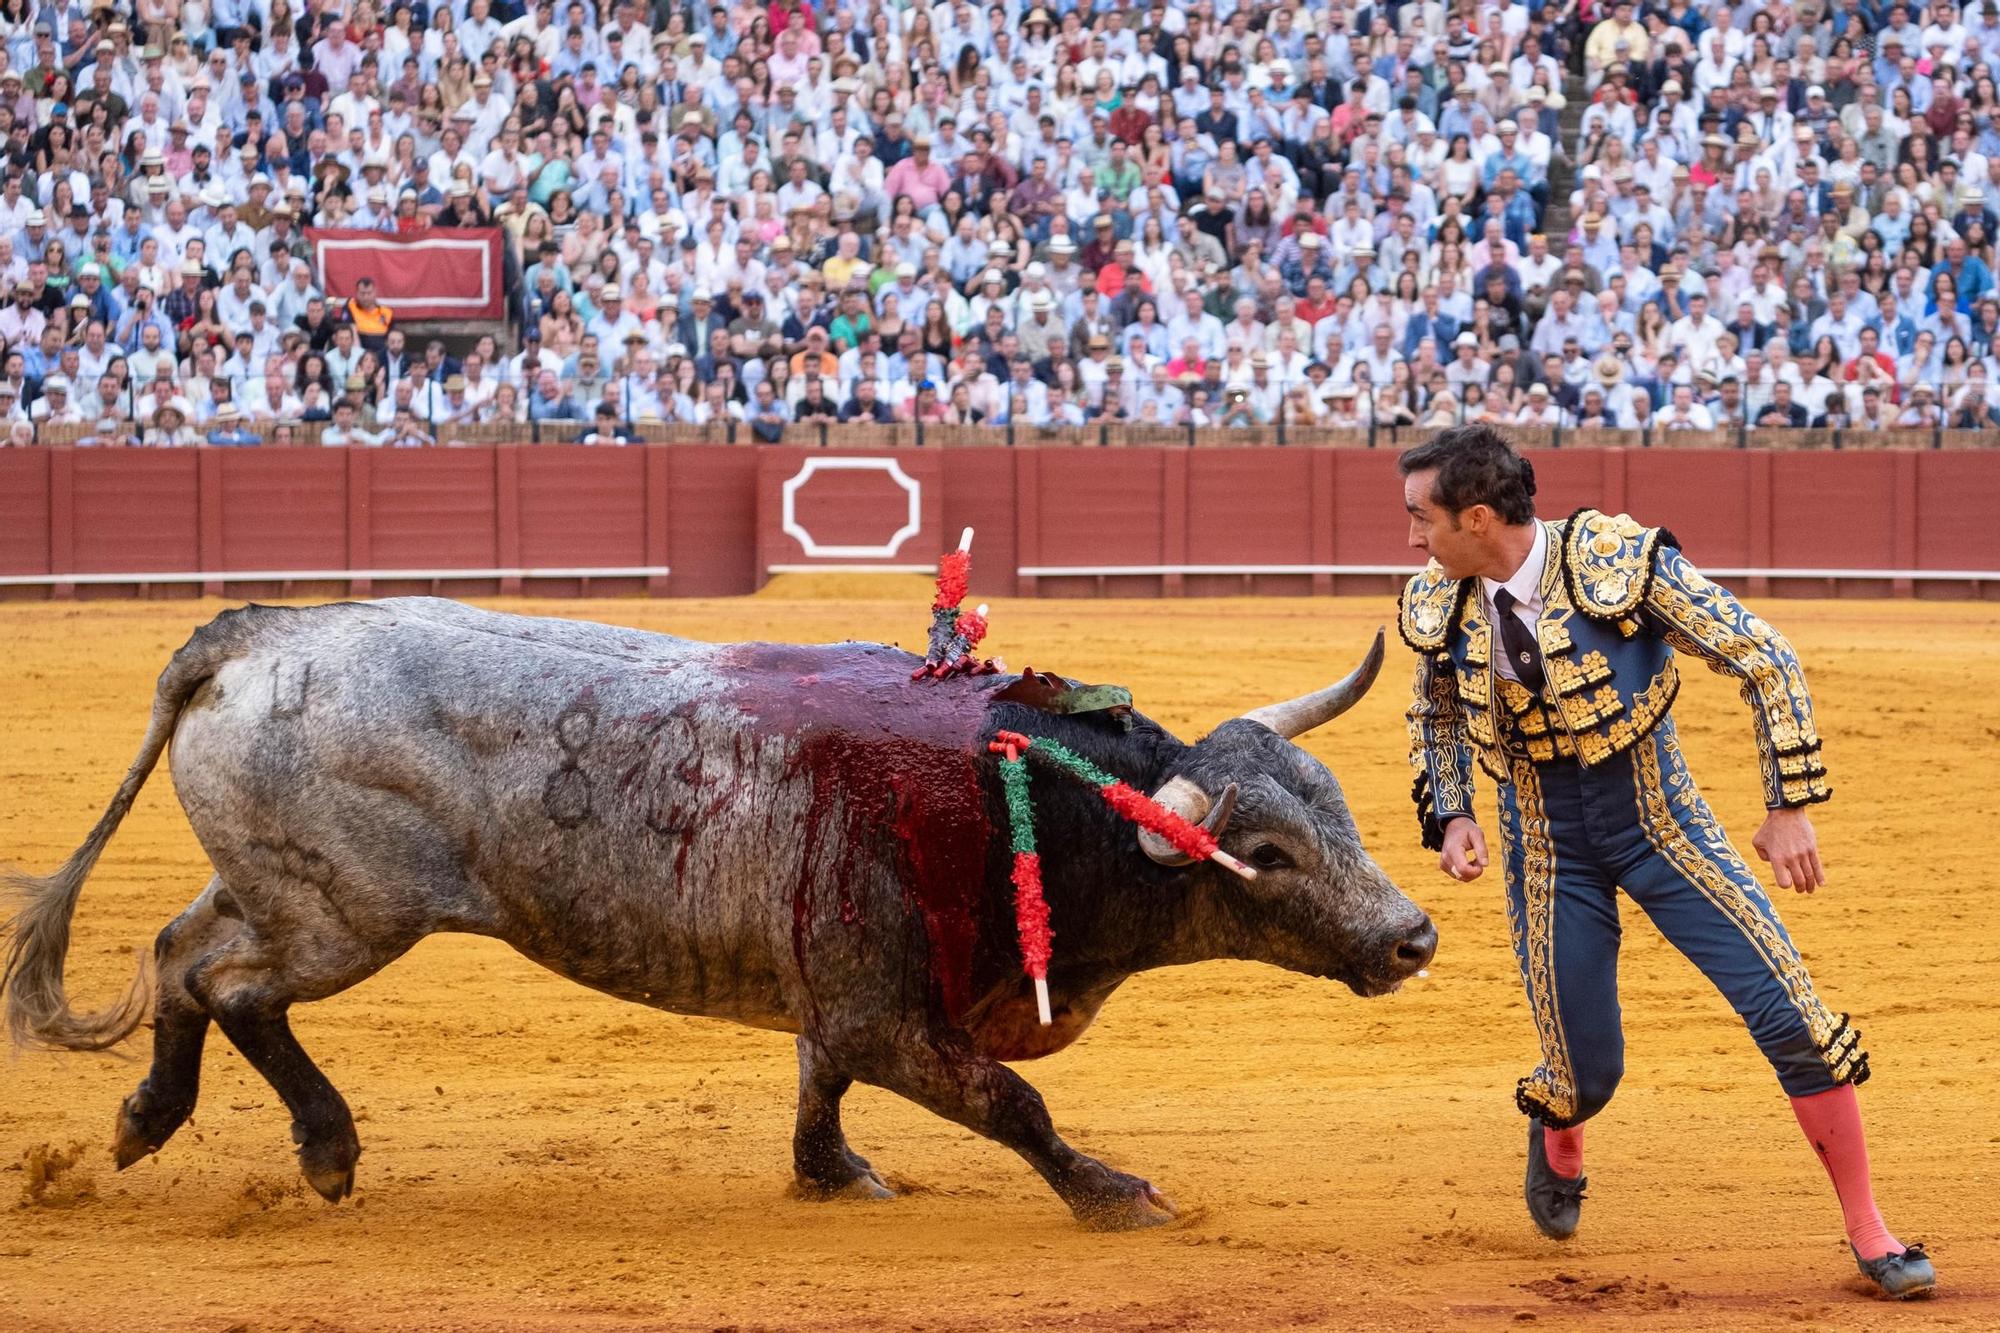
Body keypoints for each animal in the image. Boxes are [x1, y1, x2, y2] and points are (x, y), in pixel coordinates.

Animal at [3, 596, 1440, 1232]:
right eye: (1262, 850)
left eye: (1339, 810)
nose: (1413, 936)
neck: (1023, 797)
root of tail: (253, 635)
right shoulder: (886, 1008)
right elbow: (1011, 1103)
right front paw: (1114, 1192)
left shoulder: (841, 999)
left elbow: (819, 1086)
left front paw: (831, 1173)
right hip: (345, 917)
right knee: (236, 988)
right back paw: (325, 1151)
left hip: (275, 883)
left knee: (178, 957)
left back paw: (144, 1121)